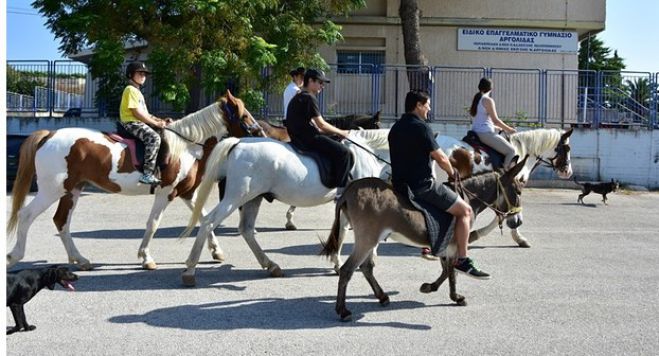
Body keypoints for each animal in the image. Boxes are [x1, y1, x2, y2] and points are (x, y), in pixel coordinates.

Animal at [7, 91, 262, 270]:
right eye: (244, 114)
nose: (260, 132)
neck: (187, 146)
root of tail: (49, 135)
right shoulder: (165, 192)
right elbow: (153, 224)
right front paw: (146, 258)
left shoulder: (186, 193)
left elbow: (203, 216)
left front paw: (217, 251)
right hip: (51, 190)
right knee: (26, 215)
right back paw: (14, 256)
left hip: (72, 190)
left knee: (62, 221)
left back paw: (79, 259)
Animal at [178, 129, 392, 286]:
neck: (369, 154)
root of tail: (238, 143)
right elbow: (348, 233)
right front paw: (349, 262)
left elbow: (342, 232)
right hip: (236, 197)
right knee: (208, 222)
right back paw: (190, 270)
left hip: (253, 198)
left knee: (246, 229)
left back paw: (271, 265)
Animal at [322, 157, 528, 322]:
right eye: (518, 191)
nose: (517, 221)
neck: (468, 199)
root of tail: (349, 190)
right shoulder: (454, 243)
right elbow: (451, 270)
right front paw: (453, 296)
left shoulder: (445, 243)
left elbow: (447, 269)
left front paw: (432, 288)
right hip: (367, 239)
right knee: (347, 270)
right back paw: (343, 311)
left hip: (371, 240)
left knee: (366, 267)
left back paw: (382, 297)